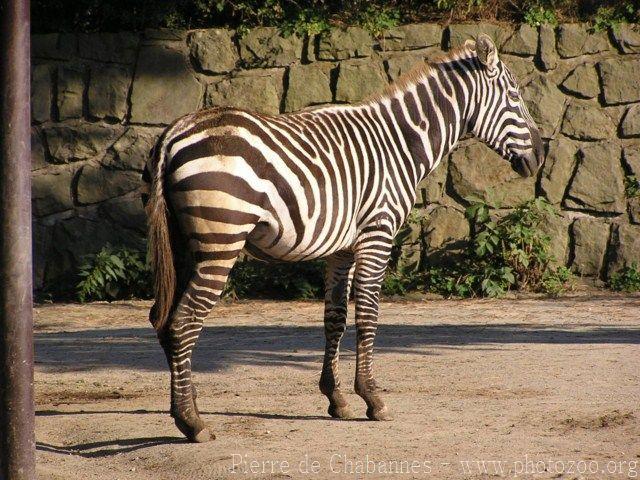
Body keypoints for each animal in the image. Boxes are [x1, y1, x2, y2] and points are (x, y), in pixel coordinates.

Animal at [144, 34, 540, 442]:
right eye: (515, 96)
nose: (540, 157)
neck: (400, 144)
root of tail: (174, 132)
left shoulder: (343, 249)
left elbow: (335, 317)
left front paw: (336, 399)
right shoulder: (377, 234)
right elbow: (368, 314)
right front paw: (372, 398)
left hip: (183, 244)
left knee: (163, 320)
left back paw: (185, 406)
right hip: (220, 241)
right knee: (184, 321)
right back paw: (192, 422)